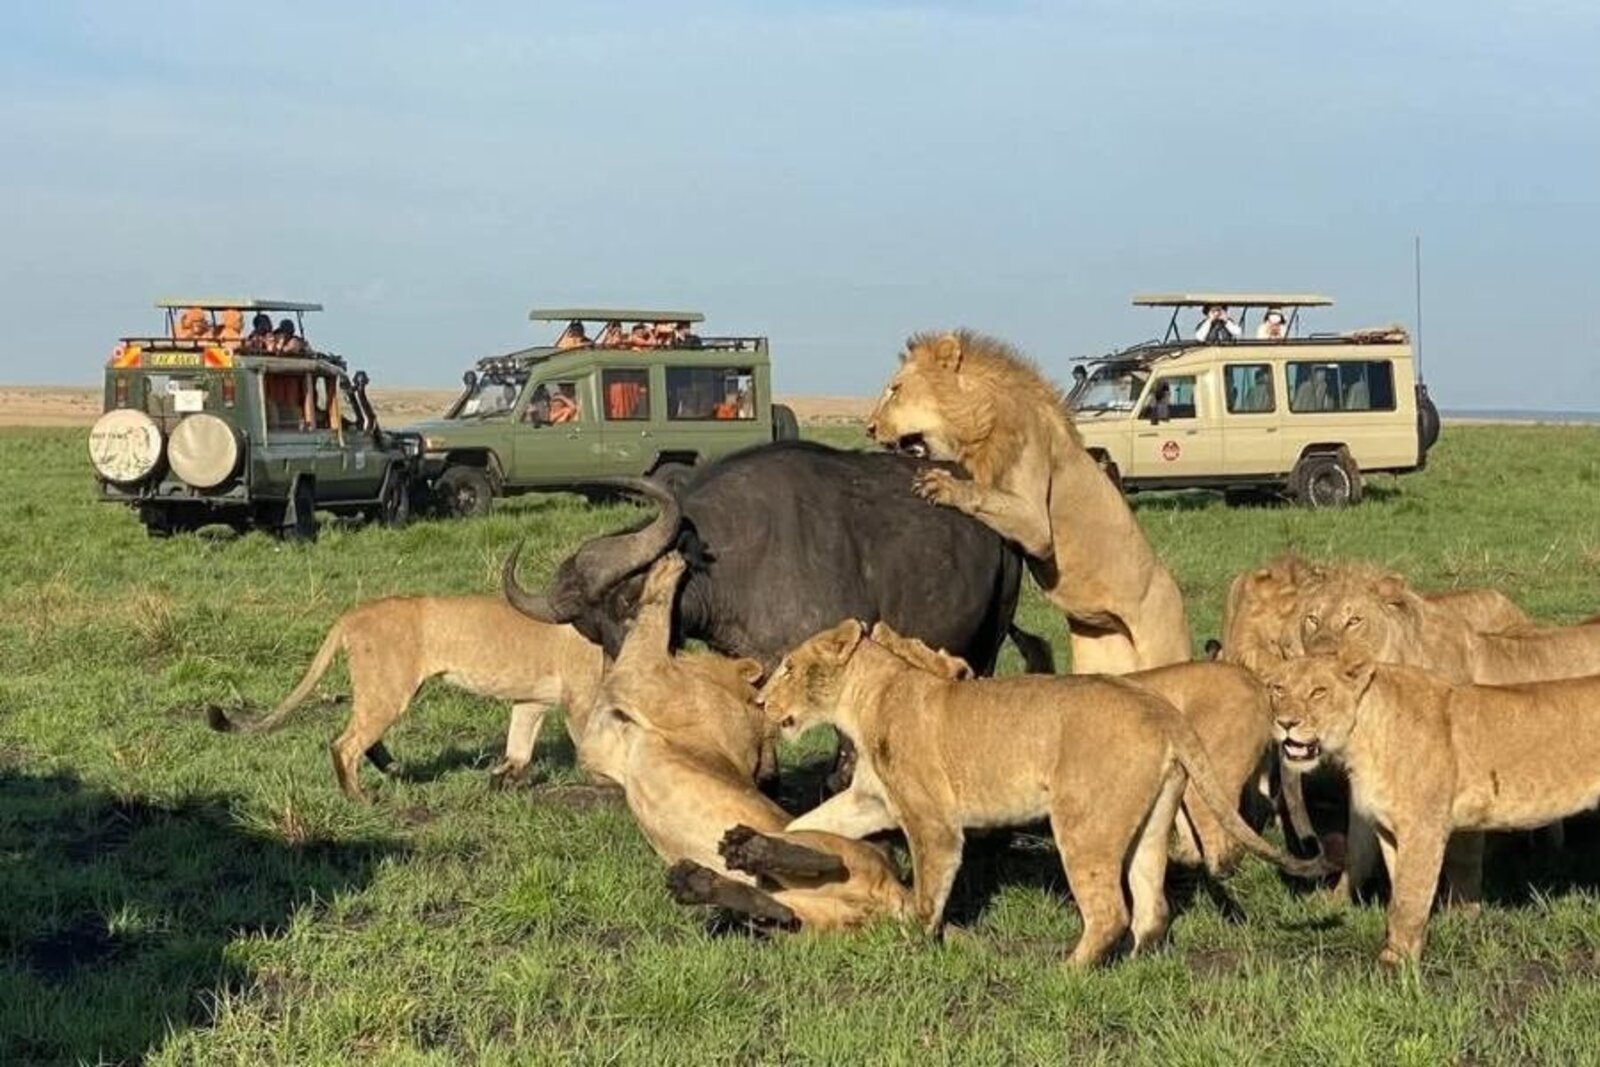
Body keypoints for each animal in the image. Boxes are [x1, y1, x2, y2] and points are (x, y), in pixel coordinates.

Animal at [209, 595, 604, 799]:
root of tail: (351, 614)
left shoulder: (532, 700)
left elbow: (519, 746)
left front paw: (502, 779)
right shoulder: (580, 701)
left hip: (384, 690)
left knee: (362, 737)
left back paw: (394, 770)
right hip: (390, 690)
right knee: (345, 744)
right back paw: (358, 798)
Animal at [581, 554, 913, 931]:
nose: (766, 777)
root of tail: (896, 891)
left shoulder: (645, 677)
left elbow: (646, 629)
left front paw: (668, 567)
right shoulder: (604, 741)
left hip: (816, 836)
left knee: (827, 857)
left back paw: (748, 850)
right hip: (807, 915)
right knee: (778, 908)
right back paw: (700, 881)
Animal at [759, 620, 1327, 966]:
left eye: (789, 667)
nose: (760, 700)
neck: (867, 696)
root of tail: (1157, 708)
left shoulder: (933, 822)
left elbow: (927, 892)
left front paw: (914, 946)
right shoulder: (871, 801)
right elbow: (809, 823)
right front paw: (778, 849)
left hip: (1082, 824)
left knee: (1111, 911)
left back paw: (1068, 971)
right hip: (1153, 819)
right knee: (1152, 908)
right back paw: (1134, 964)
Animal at [866, 330, 1189, 674]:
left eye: (896, 390)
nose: (869, 428)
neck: (981, 420)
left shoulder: (1036, 526)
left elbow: (982, 492)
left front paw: (942, 485)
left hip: (1165, 648)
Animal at [1264, 651, 1600, 965]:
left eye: (1318, 692)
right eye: (1278, 688)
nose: (1285, 723)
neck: (1361, 739)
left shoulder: (1424, 829)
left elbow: (1410, 898)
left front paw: (1394, 966)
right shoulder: (1389, 831)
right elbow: (1400, 892)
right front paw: (1403, 952)